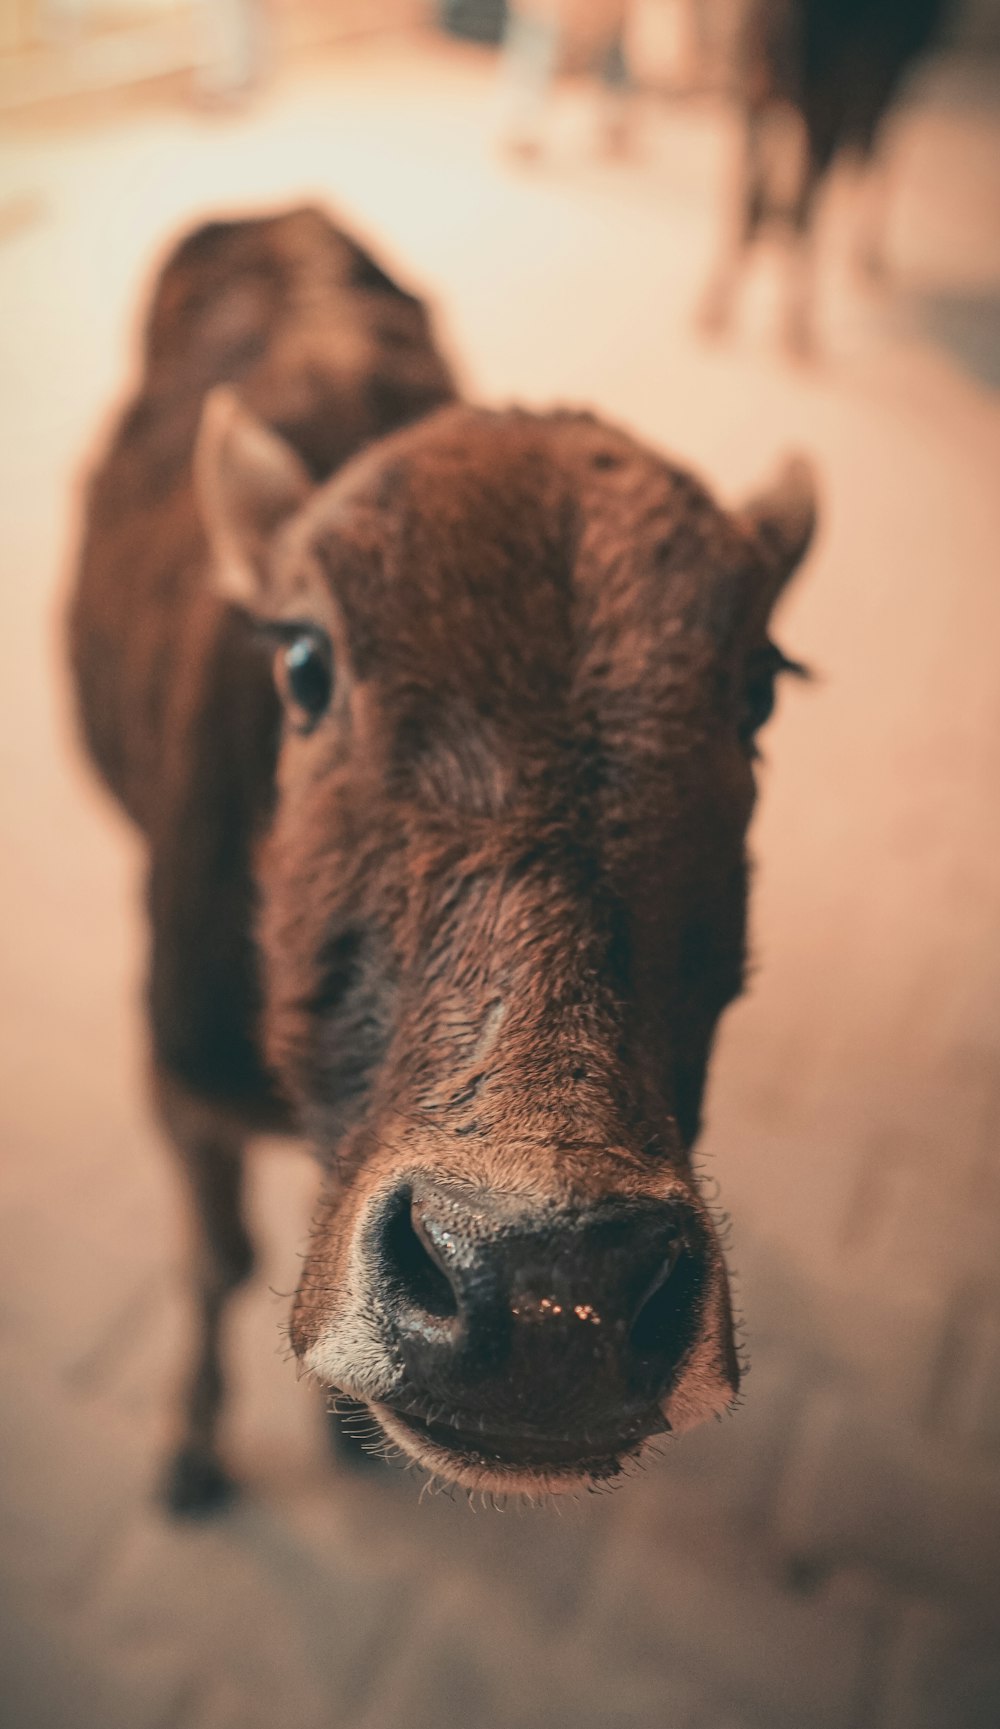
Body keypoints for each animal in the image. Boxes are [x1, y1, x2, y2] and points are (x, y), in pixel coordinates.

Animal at [68, 205, 809, 1514]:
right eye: (304, 660)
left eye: (757, 691)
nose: (551, 1284)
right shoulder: (179, 1079)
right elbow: (217, 1259)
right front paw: (193, 1447)